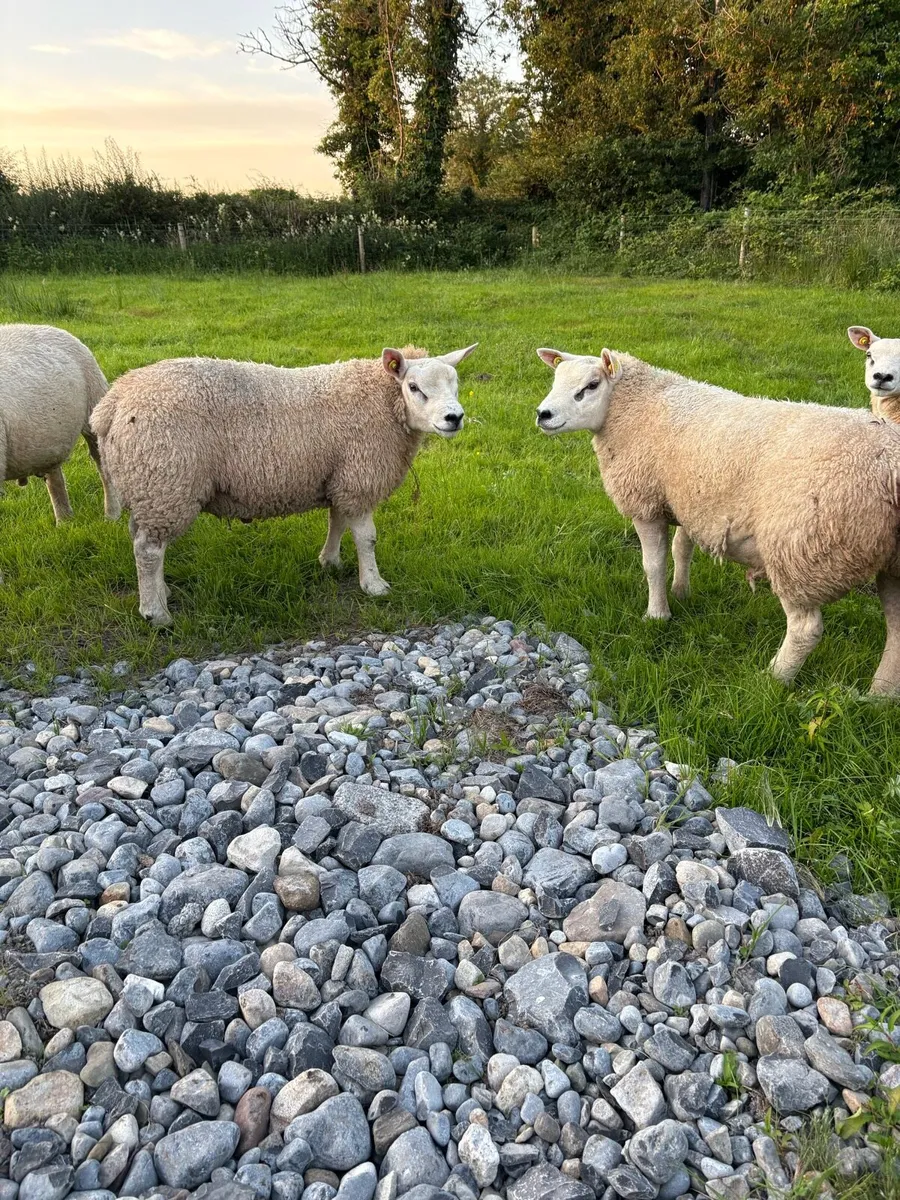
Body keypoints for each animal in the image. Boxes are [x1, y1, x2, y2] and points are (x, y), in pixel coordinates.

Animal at [90, 343, 477, 626]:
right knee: (148, 549)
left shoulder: (340, 477)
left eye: (456, 385)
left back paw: (160, 592)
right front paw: (374, 585)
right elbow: (367, 538)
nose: (454, 417)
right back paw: (156, 614)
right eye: (414, 388)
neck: (382, 401)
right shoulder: (359, 477)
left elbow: (336, 522)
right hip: (167, 481)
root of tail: (112, 403)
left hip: (147, 486)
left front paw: (330, 562)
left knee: (141, 540)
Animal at [535, 346, 900, 693]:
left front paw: (657, 615)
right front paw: (681, 592)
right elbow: (682, 549)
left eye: (591, 386)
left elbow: (654, 565)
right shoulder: (689, 502)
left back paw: (773, 680)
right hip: (888, 561)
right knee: (896, 627)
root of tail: (891, 467)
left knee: (805, 629)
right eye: (556, 380)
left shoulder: (646, 503)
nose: (542, 414)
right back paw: (879, 695)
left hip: (801, 549)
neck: (635, 406)